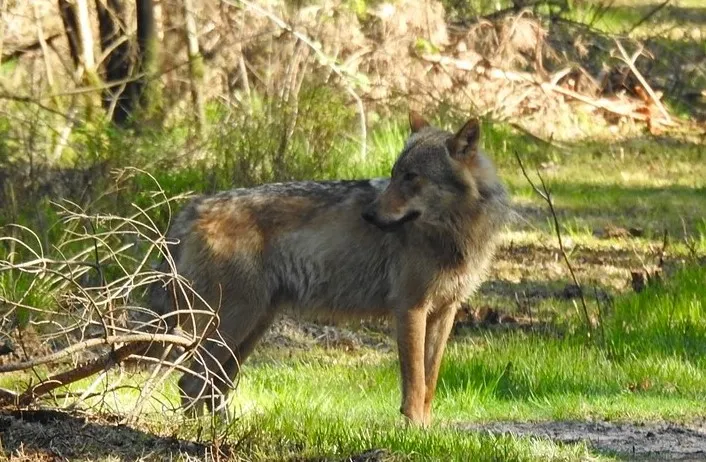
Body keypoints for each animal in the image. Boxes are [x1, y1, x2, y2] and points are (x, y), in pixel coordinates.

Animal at [147, 112, 509, 425]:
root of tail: (192, 208)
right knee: (190, 384)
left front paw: (427, 428)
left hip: (251, 327)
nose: (368, 215)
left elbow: (430, 382)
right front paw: (415, 432)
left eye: (411, 177)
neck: (454, 233)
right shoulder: (410, 309)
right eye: (394, 175)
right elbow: (416, 384)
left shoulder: (445, 312)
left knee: (212, 386)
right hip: (232, 324)